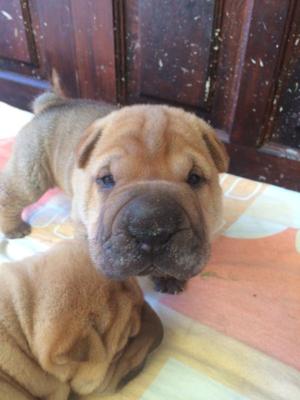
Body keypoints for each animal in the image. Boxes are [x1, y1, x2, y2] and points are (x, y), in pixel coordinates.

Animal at [0, 83, 227, 294]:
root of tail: (51, 104)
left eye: (194, 178)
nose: (152, 230)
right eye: (107, 179)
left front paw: (169, 279)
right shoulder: (84, 230)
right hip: (30, 173)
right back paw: (14, 227)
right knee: (10, 194)